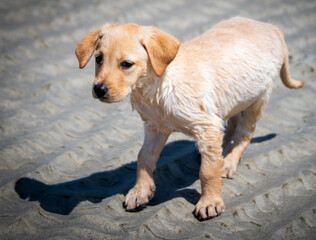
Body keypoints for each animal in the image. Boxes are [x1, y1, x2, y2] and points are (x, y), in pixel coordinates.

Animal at [76, 16, 304, 219]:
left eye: (126, 64)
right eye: (98, 59)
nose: (99, 89)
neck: (157, 86)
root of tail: (270, 26)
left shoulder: (206, 125)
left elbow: (207, 172)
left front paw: (210, 202)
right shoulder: (156, 127)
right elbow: (144, 158)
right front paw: (140, 191)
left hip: (258, 99)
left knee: (245, 133)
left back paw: (228, 161)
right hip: (236, 96)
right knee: (231, 125)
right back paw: (220, 152)